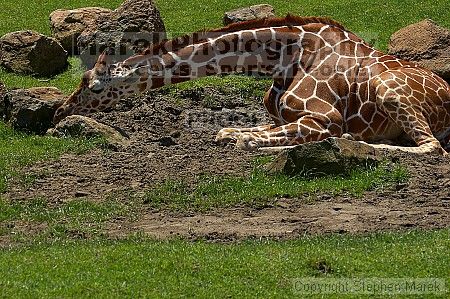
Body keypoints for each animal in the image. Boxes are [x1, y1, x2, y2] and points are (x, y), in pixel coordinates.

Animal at [53, 14, 450, 154]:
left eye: (94, 87)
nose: (60, 111)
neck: (286, 56)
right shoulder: (279, 116)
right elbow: (229, 130)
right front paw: (234, 134)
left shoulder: (325, 118)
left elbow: (245, 140)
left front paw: (247, 140)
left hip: (389, 88)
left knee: (433, 148)